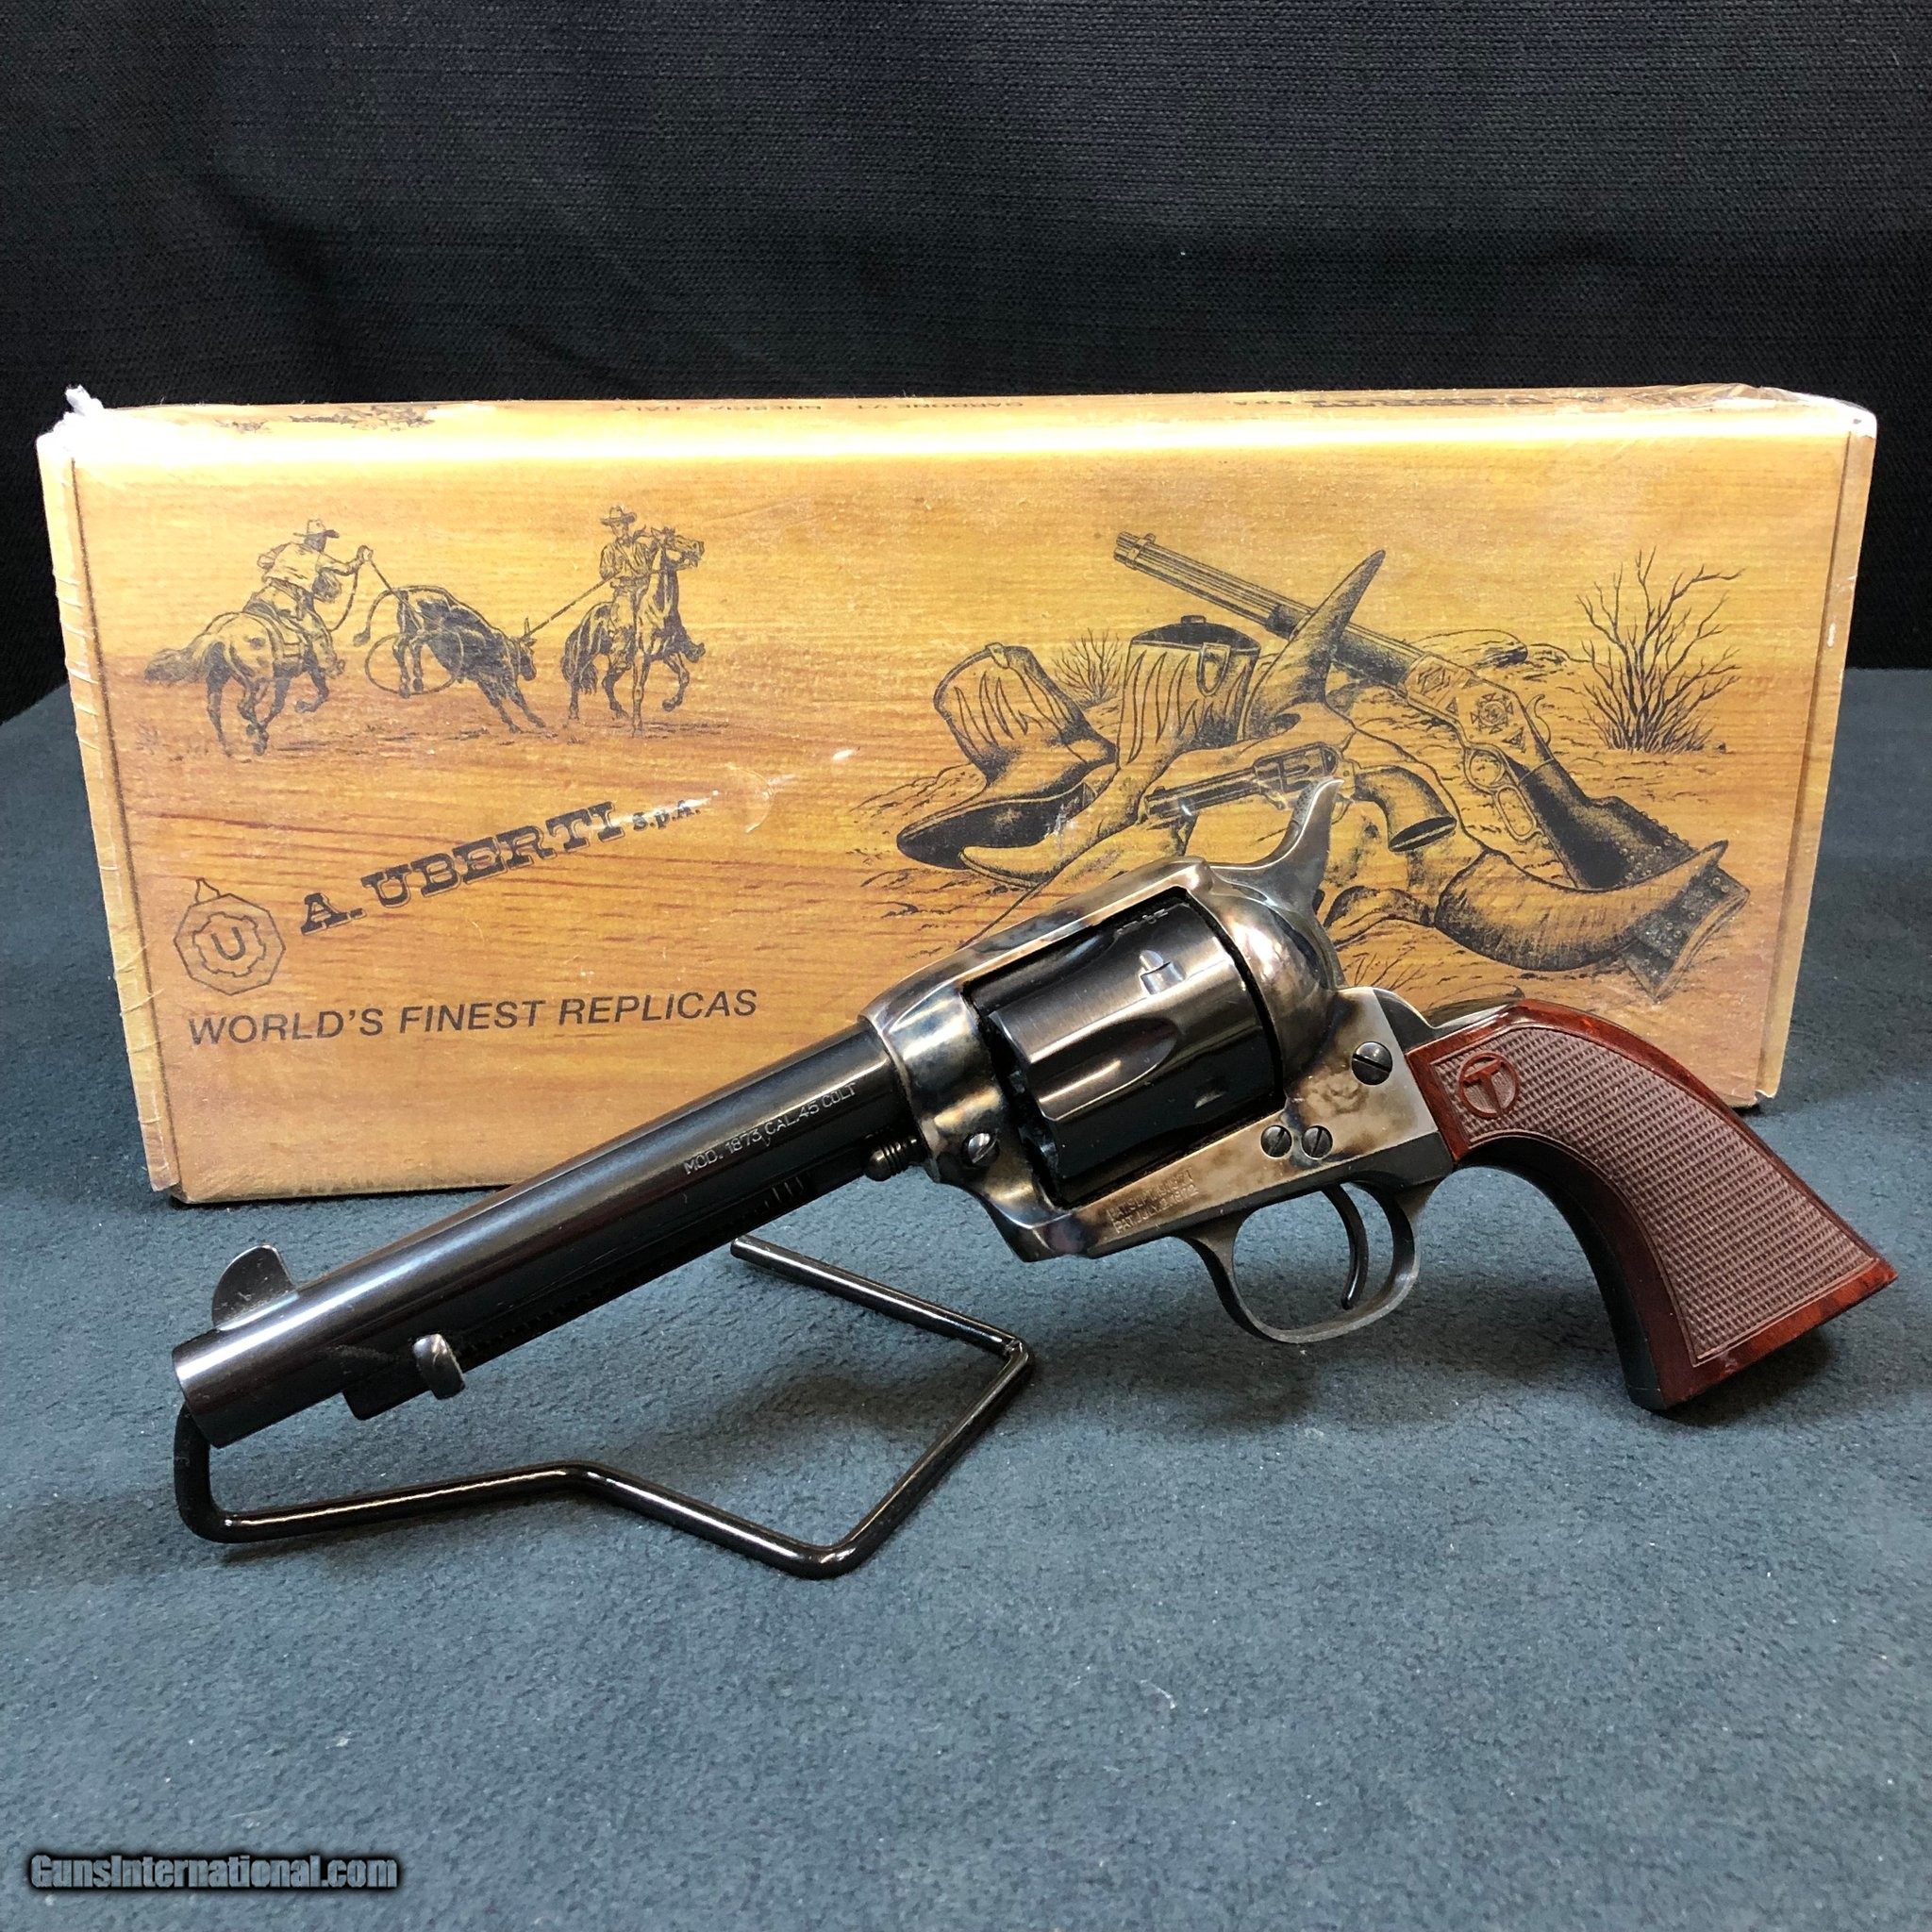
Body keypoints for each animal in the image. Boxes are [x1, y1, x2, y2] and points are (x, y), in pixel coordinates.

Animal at [145, 608, 336, 754]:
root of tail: (222, 634)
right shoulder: (310, 668)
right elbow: (321, 693)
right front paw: (302, 707)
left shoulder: (285, 677)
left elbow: (278, 706)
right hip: (258, 680)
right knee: (244, 706)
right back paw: (260, 741)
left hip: (218, 679)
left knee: (215, 710)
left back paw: (228, 748)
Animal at [357, 586, 544, 735]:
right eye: (530, 652)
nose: (533, 673)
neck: (504, 645)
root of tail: (407, 590)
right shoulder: (506, 676)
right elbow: (517, 698)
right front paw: (538, 721)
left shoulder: (481, 680)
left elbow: (496, 702)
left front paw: (513, 725)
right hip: (430, 631)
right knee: (415, 644)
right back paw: (417, 680)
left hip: (408, 627)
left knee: (399, 647)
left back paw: (405, 685)